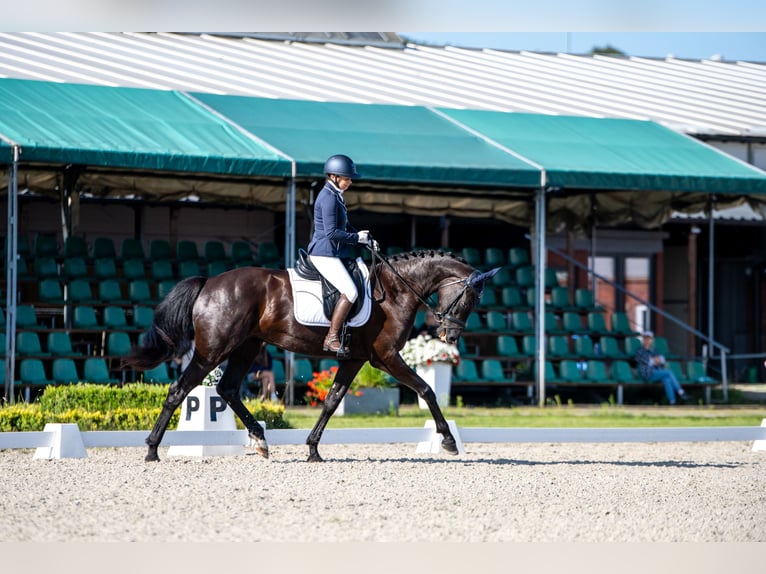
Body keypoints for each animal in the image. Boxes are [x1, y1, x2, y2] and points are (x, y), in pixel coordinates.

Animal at [123, 248, 499, 463]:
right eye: (470, 299)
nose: (449, 336)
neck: (395, 291)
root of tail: (210, 282)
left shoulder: (354, 359)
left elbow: (332, 401)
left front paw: (313, 449)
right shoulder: (386, 356)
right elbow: (426, 390)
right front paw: (448, 440)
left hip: (247, 346)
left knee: (227, 388)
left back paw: (260, 440)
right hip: (213, 350)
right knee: (180, 390)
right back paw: (152, 450)